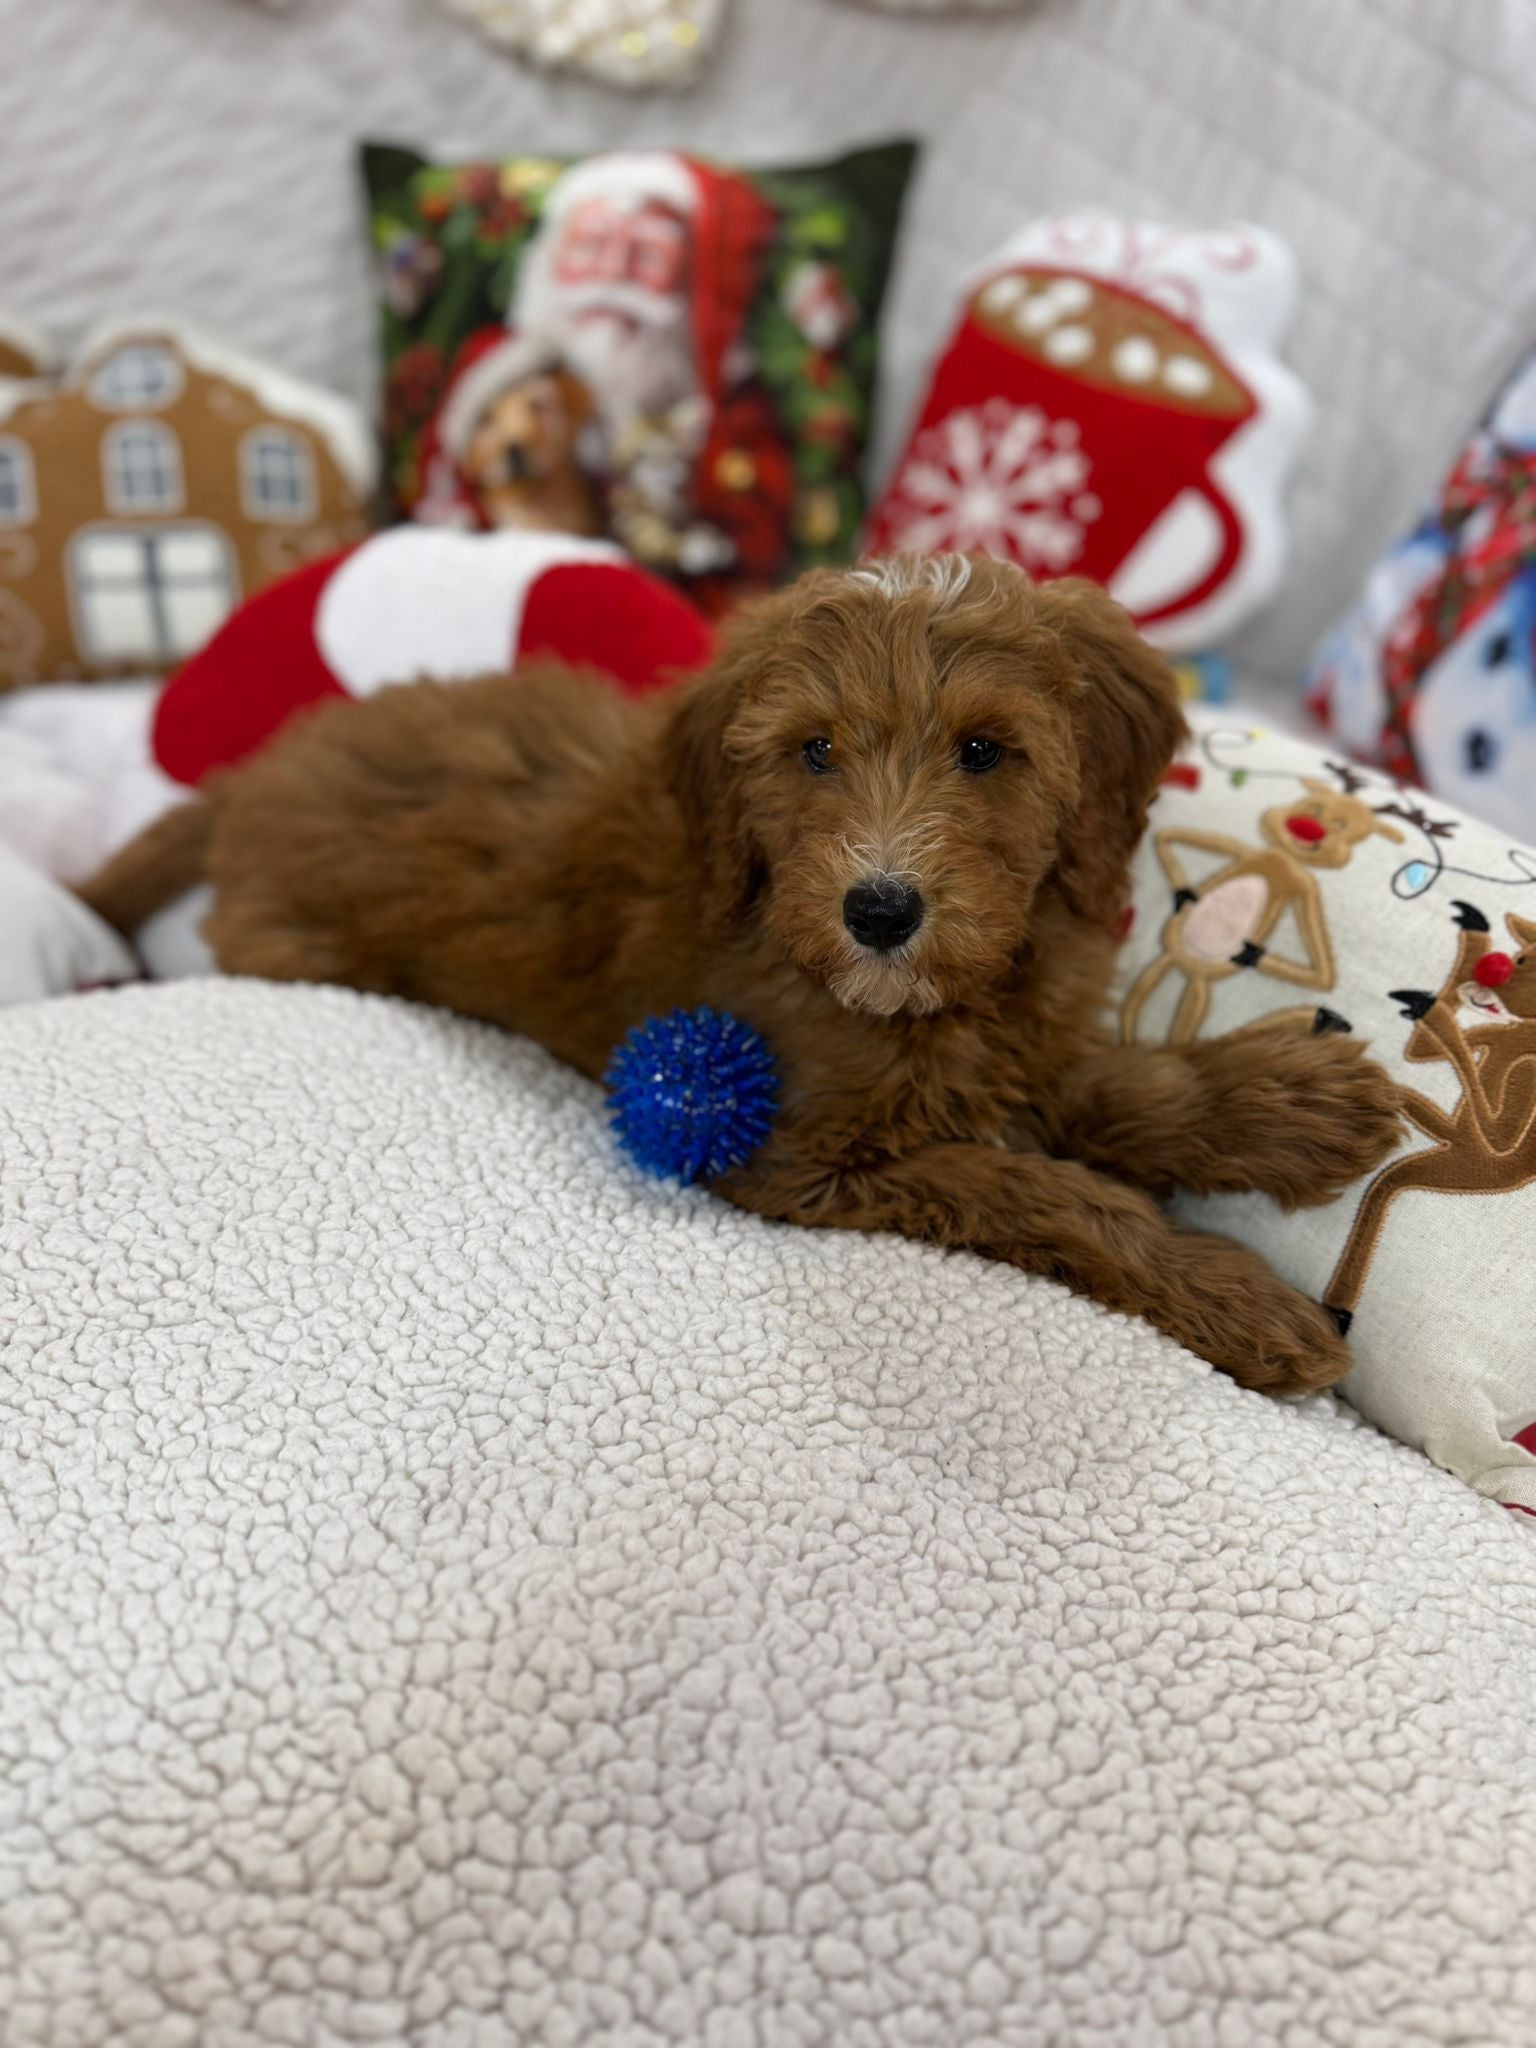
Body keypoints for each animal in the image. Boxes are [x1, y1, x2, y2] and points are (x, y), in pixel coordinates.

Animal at [83, 552, 1409, 1392]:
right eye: (814, 752)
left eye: (986, 751)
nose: (880, 908)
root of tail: (247, 782)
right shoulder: (798, 1155)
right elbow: (1042, 1189)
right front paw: (1230, 1291)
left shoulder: (1014, 1029)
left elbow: (1115, 1089)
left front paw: (1287, 1103)